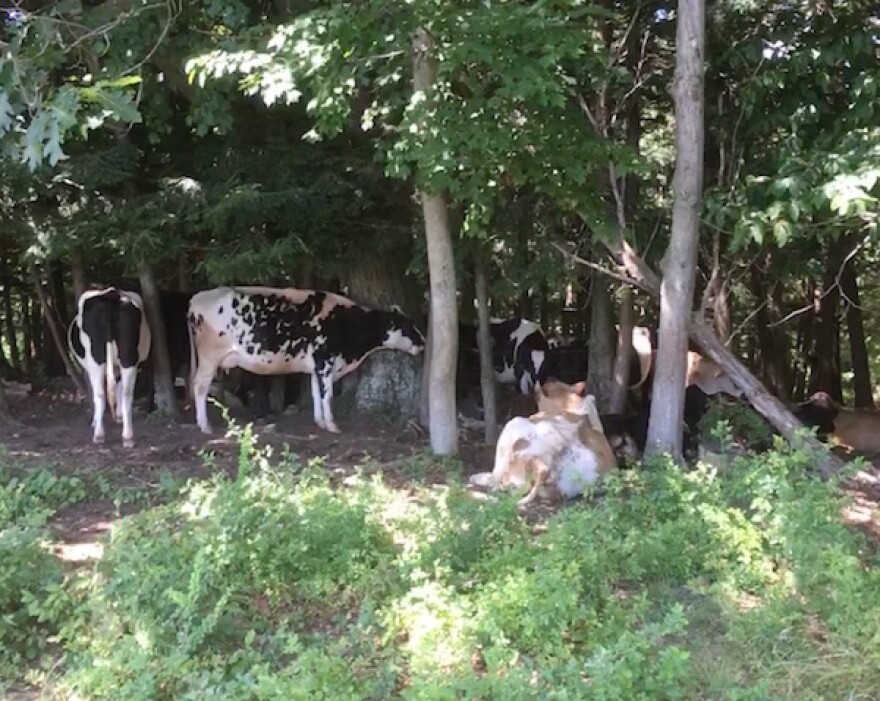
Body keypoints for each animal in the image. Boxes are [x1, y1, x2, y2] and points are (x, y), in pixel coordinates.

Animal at [68, 288, 152, 446]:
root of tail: (111, 294)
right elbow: (118, 387)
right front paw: (119, 416)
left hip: (96, 358)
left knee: (100, 394)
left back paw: (99, 433)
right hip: (128, 356)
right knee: (126, 392)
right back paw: (127, 436)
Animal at [187, 284, 424, 432]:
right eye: (407, 327)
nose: (423, 343)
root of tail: (197, 297)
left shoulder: (316, 367)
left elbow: (316, 393)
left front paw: (320, 422)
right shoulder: (326, 362)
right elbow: (326, 395)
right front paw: (332, 426)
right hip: (209, 357)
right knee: (200, 386)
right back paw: (205, 426)